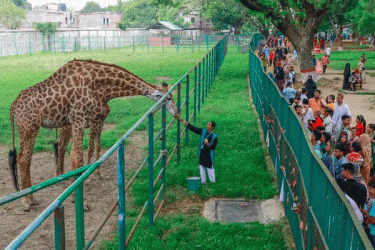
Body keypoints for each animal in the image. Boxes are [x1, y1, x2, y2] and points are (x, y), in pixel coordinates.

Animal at [8, 59, 179, 212]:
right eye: (169, 98)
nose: (178, 113)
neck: (96, 82)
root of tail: (13, 105)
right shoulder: (80, 119)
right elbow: (78, 157)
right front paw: (80, 200)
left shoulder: (89, 121)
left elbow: (90, 150)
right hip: (29, 127)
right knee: (23, 159)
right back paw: (26, 202)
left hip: (33, 128)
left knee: (31, 157)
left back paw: (33, 198)